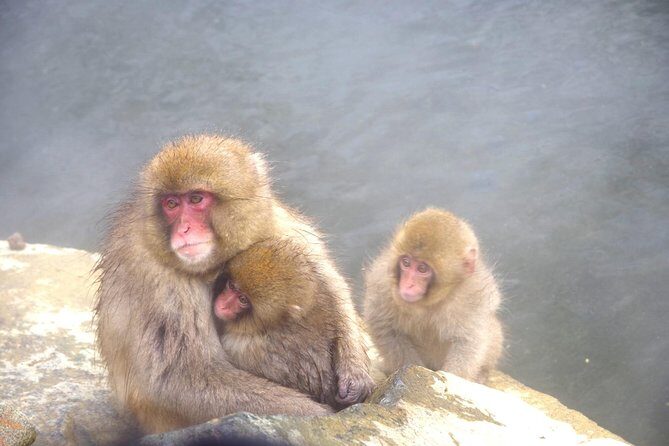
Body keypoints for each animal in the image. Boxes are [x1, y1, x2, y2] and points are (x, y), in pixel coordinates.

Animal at [212, 238, 366, 409]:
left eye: (243, 299)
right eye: (231, 286)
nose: (222, 305)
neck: (279, 323)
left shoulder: (241, 348)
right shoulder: (324, 295)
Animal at [363, 208, 504, 383]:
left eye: (422, 269)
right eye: (406, 263)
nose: (408, 284)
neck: (428, 304)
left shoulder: (473, 295)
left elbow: (468, 340)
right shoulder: (381, 285)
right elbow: (385, 328)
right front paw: (412, 371)